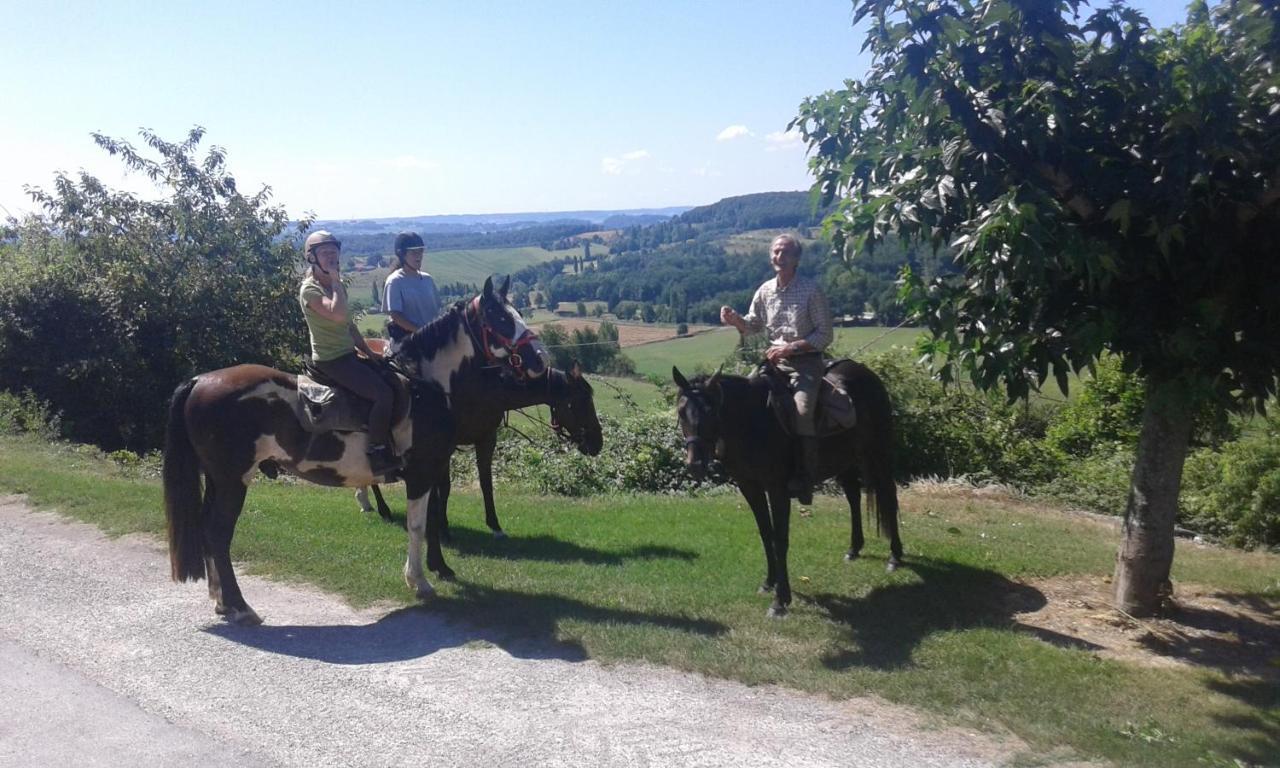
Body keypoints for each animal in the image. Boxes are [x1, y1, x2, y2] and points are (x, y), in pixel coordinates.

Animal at [162, 276, 542, 624]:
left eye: (517, 312)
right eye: (499, 316)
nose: (538, 359)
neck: (425, 387)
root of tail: (200, 381)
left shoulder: (434, 468)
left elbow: (432, 517)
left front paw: (440, 568)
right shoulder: (421, 472)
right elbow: (418, 525)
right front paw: (419, 581)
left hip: (217, 479)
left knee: (207, 529)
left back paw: (221, 601)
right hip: (233, 481)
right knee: (218, 533)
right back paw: (239, 606)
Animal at [670, 360, 901, 616]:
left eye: (711, 411)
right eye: (681, 411)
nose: (696, 465)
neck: (751, 421)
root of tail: (865, 372)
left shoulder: (777, 489)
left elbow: (780, 538)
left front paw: (780, 600)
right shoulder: (750, 487)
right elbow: (765, 533)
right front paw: (769, 582)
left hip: (879, 452)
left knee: (889, 496)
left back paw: (895, 557)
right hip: (847, 460)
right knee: (853, 496)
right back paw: (854, 549)